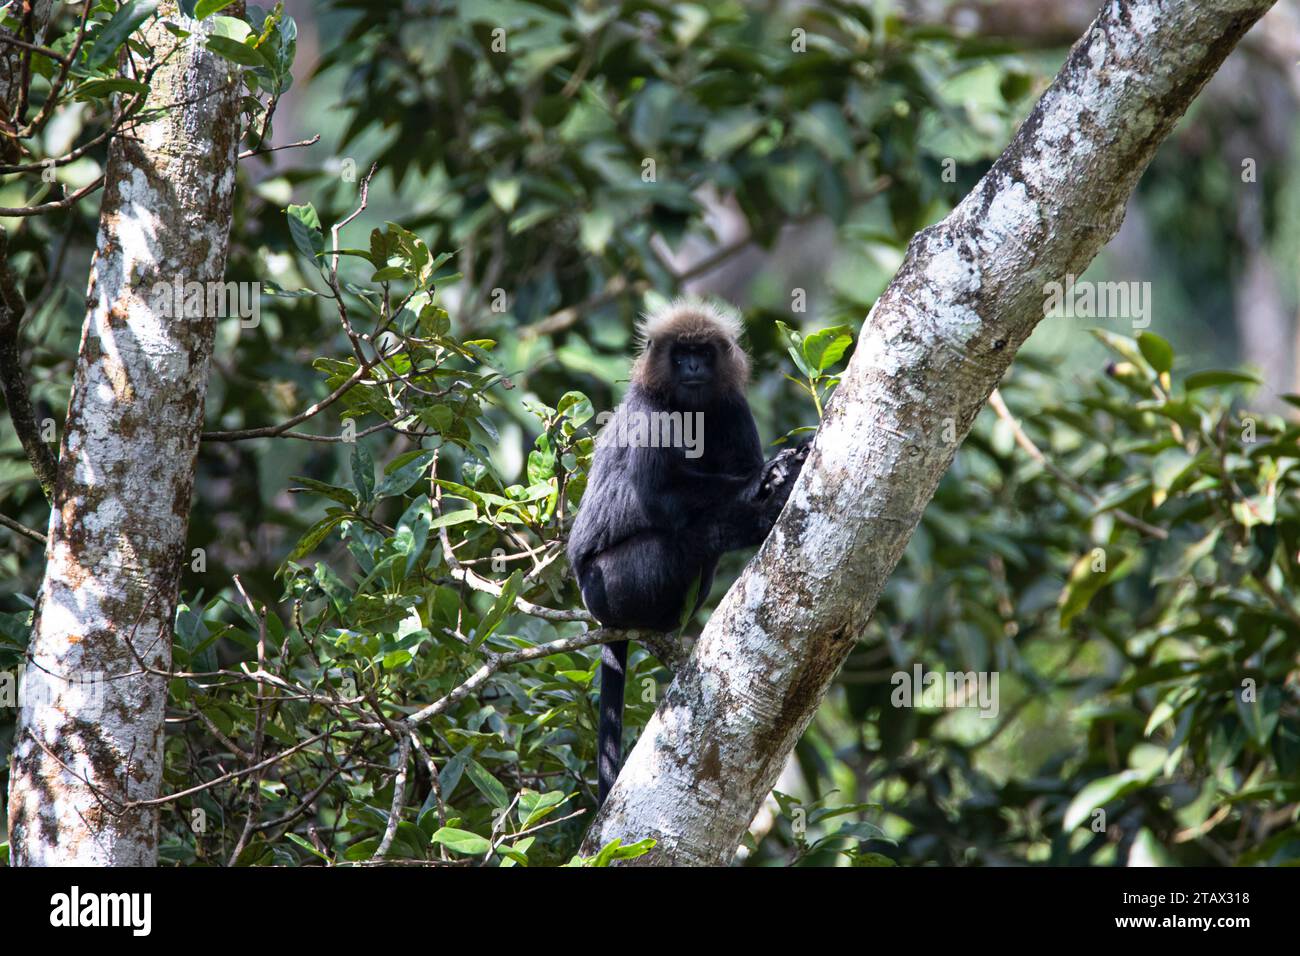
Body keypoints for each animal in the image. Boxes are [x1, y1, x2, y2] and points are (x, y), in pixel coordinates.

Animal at [567, 298, 811, 805]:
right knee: (682, 539)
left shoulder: (731, 405)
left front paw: (772, 475)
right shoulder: (649, 411)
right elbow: (660, 494)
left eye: (702, 353)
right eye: (680, 355)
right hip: (607, 586)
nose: (694, 367)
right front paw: (767, 479)